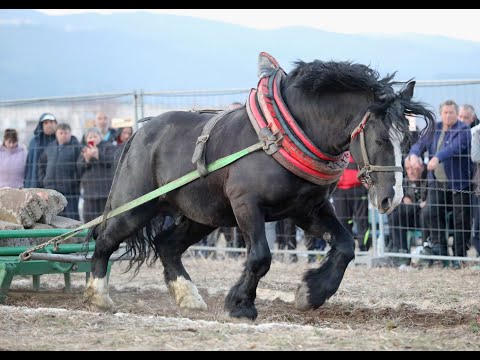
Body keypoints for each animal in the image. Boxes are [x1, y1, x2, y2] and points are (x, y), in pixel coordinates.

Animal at [83, 52, 436, 320]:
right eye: (379, 139)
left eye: (409, 140)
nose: (392, 198)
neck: (284, 134)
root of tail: (140, 132)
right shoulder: (246, 205)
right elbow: (260, 257)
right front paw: (241, 305)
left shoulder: (308, 209)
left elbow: (346, 245)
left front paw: (311, 293)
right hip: (136, 205)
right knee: (105, 239)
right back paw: (98, 296)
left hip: (203, 216)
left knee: (166, 245)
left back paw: (189, 297)